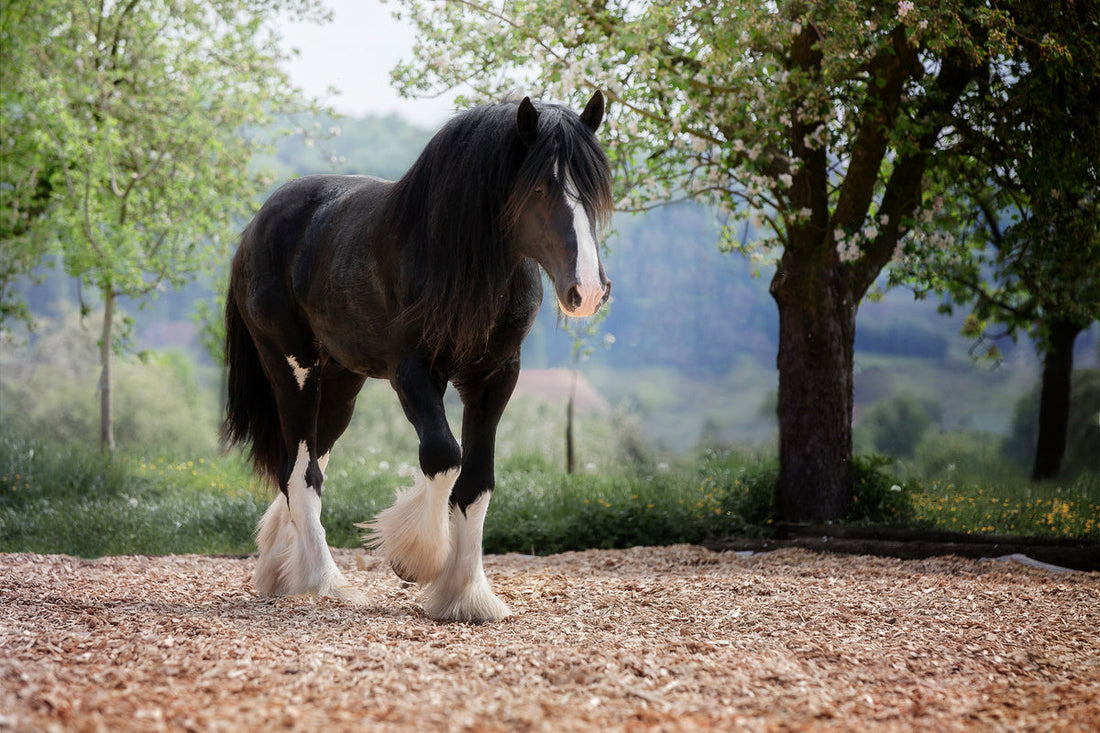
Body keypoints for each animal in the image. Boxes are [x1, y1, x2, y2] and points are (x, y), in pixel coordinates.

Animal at [222, 91, 613, 623]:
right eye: (538, 187)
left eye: (594, 191)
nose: (588, 290)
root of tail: (257, 225)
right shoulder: (412, 371)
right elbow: (444, 457)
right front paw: (416, 560)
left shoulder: (495, 377)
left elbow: (477, 482)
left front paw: (468, 595)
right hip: (293, 368)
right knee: (301, 474)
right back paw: (327, 583)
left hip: (340, 384)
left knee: (301, 466)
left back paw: (283, 572)